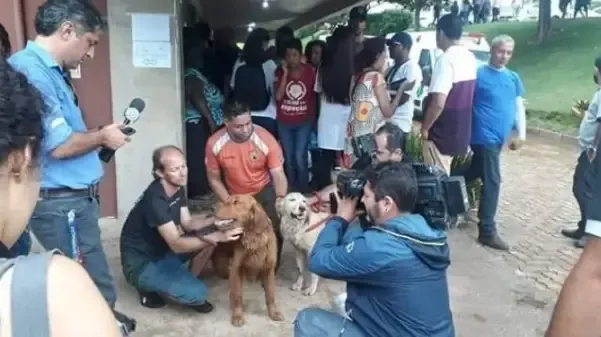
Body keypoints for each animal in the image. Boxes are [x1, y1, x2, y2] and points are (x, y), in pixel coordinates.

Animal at [212, 194, 284, 326]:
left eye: (236, 202)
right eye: (228, 199)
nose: (212, 207)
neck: (253, 239)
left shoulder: (269, 268)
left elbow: (270, 294)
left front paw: (274, 313)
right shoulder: (237, 267)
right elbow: (237, 295)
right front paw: (237, 316)